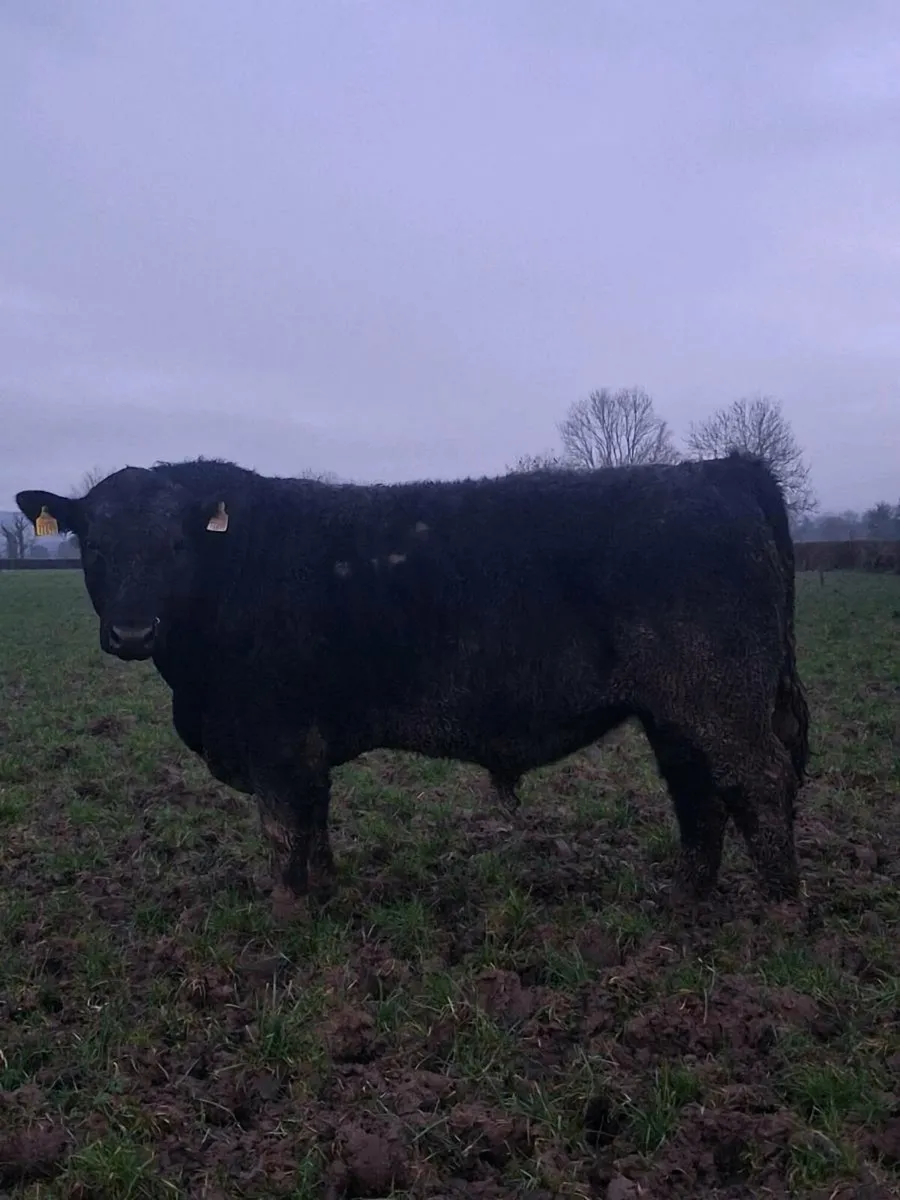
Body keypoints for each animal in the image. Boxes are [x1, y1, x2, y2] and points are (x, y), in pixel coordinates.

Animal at [16, 451, 810, 918]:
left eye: (175, 544)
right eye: (94, 544)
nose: (131, 633)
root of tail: (714, 468)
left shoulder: (275, 734)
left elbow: (282, 829)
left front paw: (283, 916)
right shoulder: (305, 743)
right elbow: (315, 822)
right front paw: (323, 896)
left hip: (718, 698)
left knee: (761, 782)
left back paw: (781, 914)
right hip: (676, 710)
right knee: (698, 793)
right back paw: (686, 902)